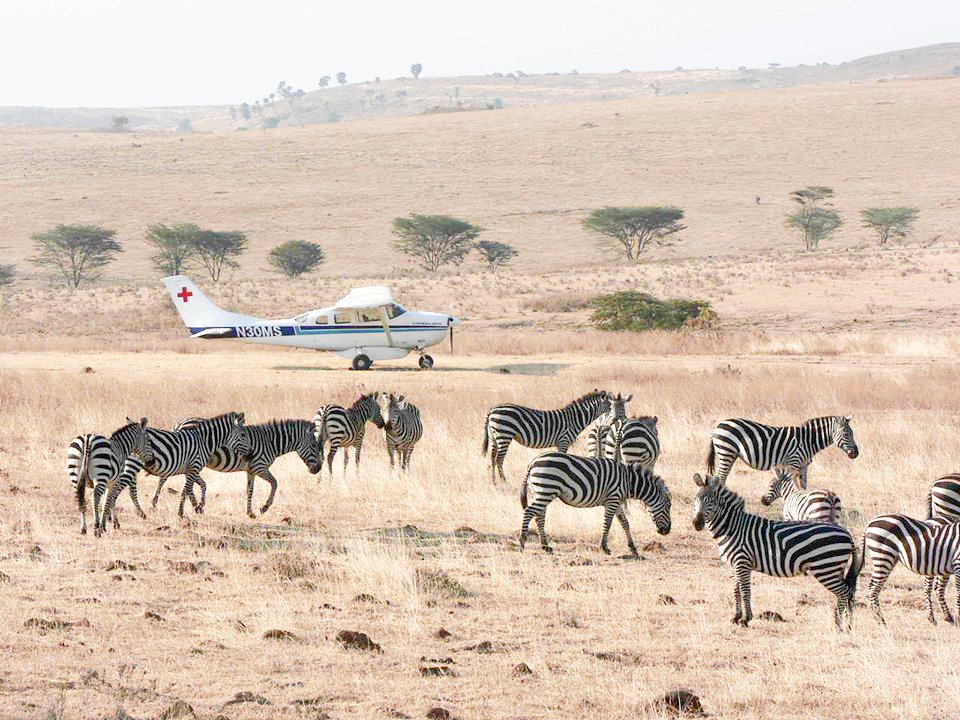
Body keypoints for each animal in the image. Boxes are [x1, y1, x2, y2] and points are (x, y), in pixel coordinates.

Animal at [107, 416, 320, 524]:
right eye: (315, 446)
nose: (317, 470)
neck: (270, 442)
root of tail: (180, 423)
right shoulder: (260, 466)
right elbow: (275, 483)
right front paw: (264, 507)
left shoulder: (251, 470)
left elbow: (249, 491)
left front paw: (250, 511)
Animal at [480, 388, 616, 484]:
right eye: (611, 407)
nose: (615, 420)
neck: (575, 419)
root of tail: (492, 410)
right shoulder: (563, 441)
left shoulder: (561, 443)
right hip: (504, 434)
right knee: (499, 459)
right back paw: (504, 481)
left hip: (494, 437)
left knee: (492, 458)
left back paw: (494, 482)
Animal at [520, 452, 672, 560]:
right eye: (668, 507)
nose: (667, 531)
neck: (628, 481)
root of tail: (533, 462)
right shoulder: (612, 499)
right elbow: (608, 523)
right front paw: (604, 547)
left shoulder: (616, 501)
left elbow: (625, 523)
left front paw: (633, 549)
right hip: (546, 490)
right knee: (529, 512)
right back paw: (522, 543)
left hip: (542, 492)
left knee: (539, 516)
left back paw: (545, 546)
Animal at [688, 472, 864, 632]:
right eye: (696, 499)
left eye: (711, 501)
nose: (697, 523)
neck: (732, 528)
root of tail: (847, 534)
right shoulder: (733, 564)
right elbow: (736, 590)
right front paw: (736, 617)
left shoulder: (742, 561)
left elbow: (745, 590)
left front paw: (746, 619)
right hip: (835, 568)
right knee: (848, 592)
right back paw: (847, 625)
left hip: (826, 568)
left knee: (844, 593)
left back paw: (838, 625)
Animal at [700, 416, 860, 490]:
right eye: (847, 434)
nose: (856, 453)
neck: (808, 440)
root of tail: (718, 425)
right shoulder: (793, 463)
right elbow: (794, 486)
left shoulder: (803, 465)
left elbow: (803, 486)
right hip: (726, 452)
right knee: (720, 478)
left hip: (730, 455)